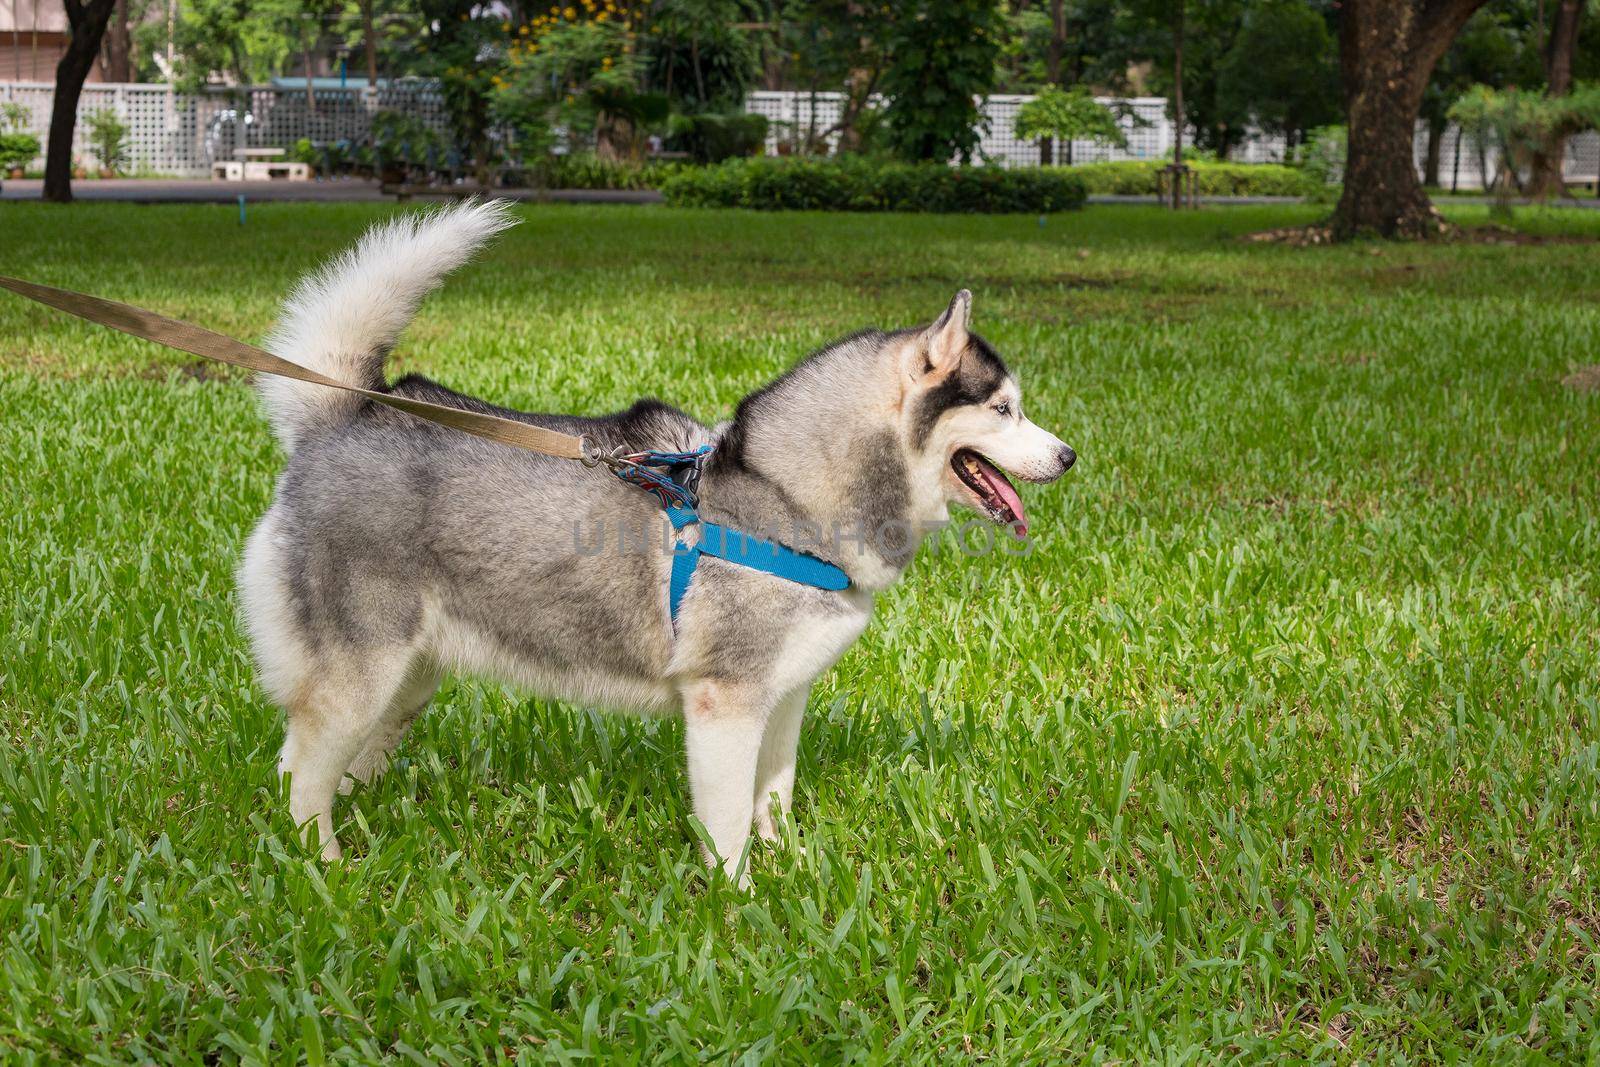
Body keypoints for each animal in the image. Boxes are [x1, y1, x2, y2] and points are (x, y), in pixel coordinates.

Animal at [240, 198, 1075, 876]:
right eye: (1004, 409)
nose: (1070, 456)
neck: (782, 496)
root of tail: (345, 413)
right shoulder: (723, 704)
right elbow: (728, 823)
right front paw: (739, 900)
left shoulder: (784, 696)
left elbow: (775, 799)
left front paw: (793, 872)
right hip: (362, 672)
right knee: (298, 770)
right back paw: (324, 864)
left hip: (410, 676)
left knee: (332, 764)